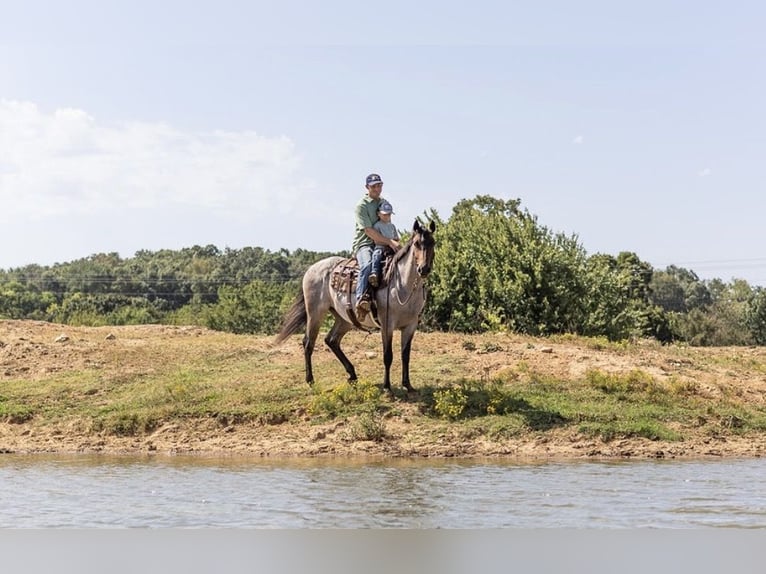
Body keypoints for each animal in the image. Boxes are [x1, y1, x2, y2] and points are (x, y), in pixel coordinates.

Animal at [275, 219, 436, 393]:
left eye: (433, 242)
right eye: (417, 243)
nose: (423, 269)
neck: (401, 285)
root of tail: (312, 269)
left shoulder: (410, 325)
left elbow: (405, 356)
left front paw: (408, 385)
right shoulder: (387, 324)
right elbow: (388, 356)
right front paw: (387, 387)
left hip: (345, 318)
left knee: (331, 340)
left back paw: (352, 375)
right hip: (315, 313)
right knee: (308, 343)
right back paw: (310, 380)